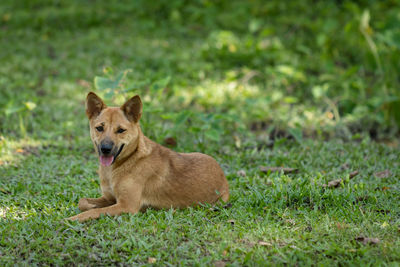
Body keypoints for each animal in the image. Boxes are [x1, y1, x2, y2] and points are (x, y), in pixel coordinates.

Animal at [65, 93, 228, 223]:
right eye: (99, 128)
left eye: (121, 130)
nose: (105, 149)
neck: (128, 160)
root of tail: (223, 175)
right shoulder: (110, 198)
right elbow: (82, 202)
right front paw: (88, 206)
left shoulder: (127, 206)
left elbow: (94, 212)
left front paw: (73, 218)